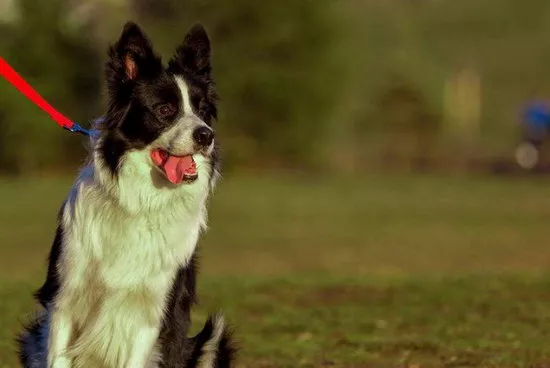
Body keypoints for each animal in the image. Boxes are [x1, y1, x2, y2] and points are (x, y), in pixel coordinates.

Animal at [16, 21, 236, 366]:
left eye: (202, 110)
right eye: (164, 109)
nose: (206, 135)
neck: (141, 202)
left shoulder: (152, 314)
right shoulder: (64, 300)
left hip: (213, 337)